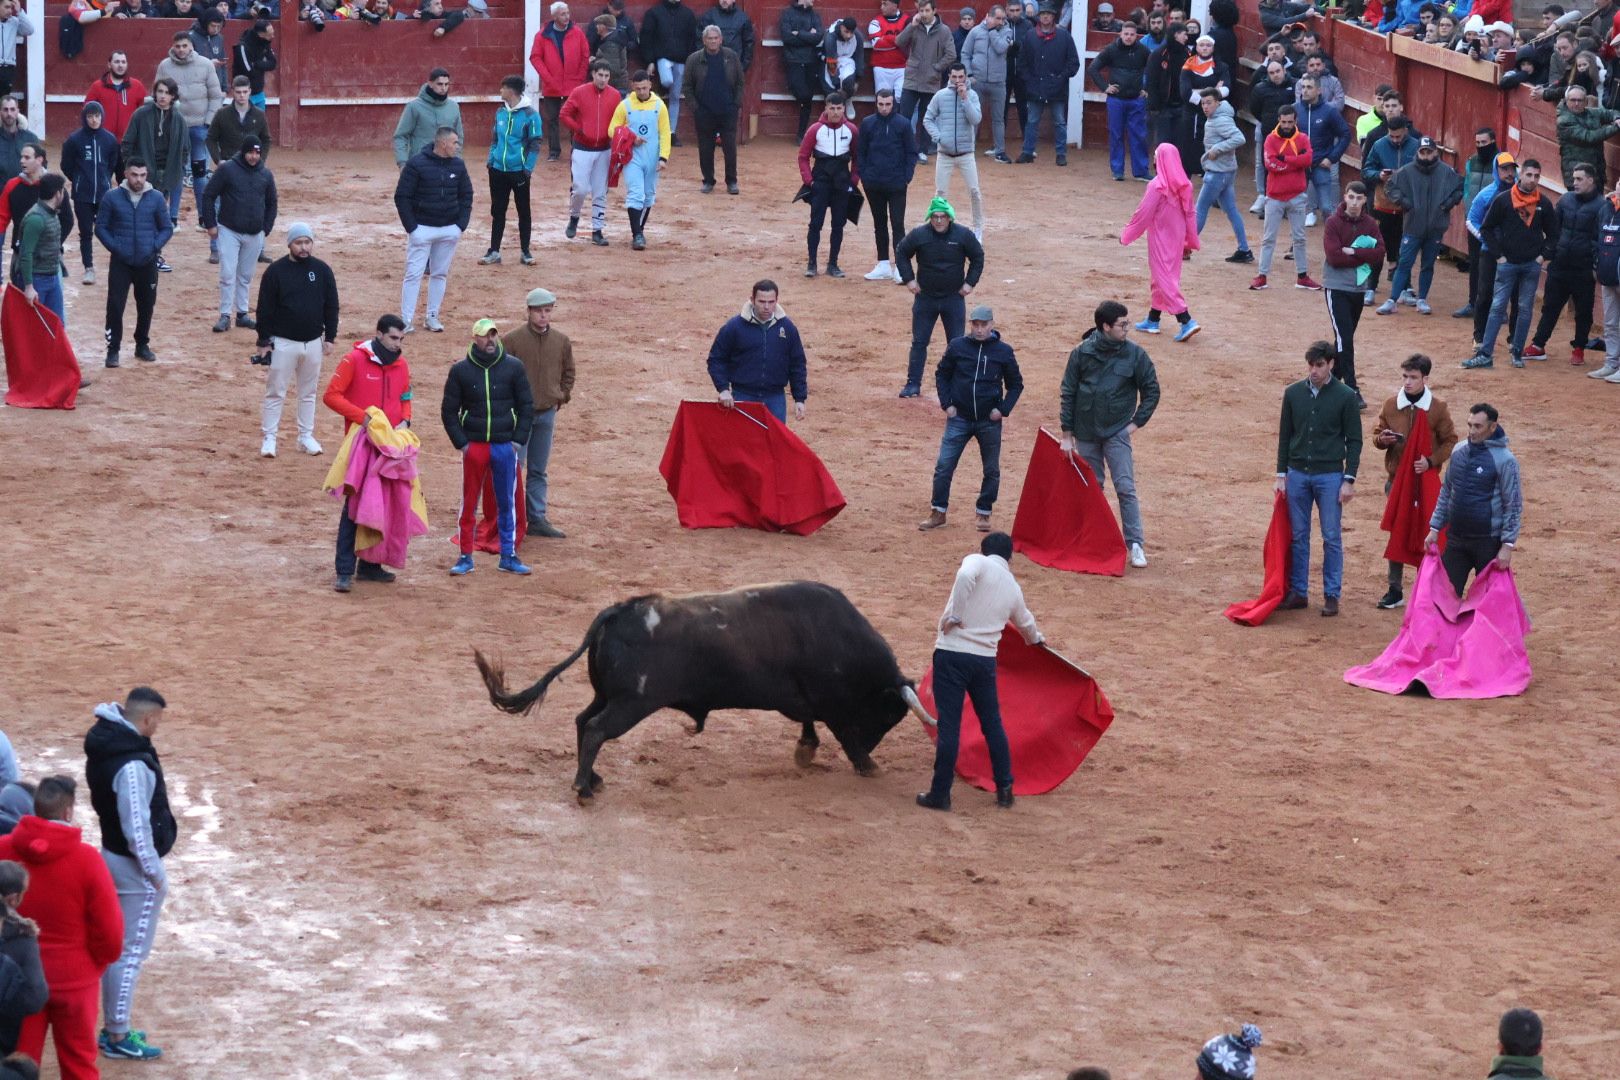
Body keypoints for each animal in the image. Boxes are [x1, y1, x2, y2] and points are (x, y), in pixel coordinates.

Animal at [473, 582, 933, 803]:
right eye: (888, 715)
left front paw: (807, 750)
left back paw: (592, 779)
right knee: (597, 730)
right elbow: (842, 733)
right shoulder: (834, 706)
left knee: (583, 721)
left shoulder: (806, 699)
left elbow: (808, 722)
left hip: (609, 696)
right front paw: (868, 764)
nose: (874, 746)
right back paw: (584, 789)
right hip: (631, 703)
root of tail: (619, 610)